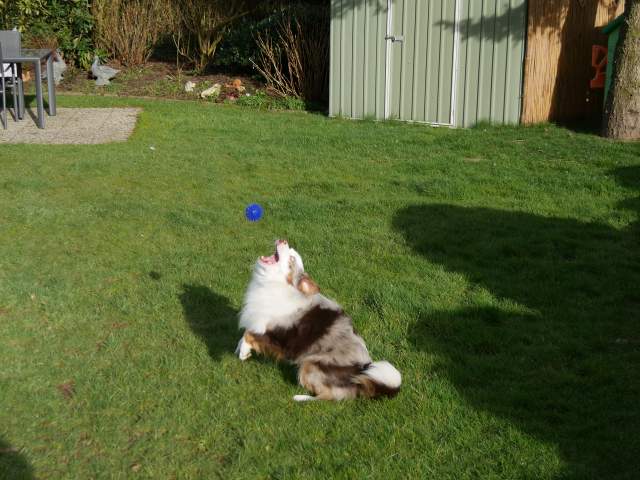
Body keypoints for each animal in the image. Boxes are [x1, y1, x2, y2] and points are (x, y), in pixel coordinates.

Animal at [235, 239, 401, 401]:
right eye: (291, 252)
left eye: (292, 258)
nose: (283, 240)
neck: (277, 285)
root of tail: (360, 374)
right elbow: (245, 333)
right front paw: (241, 349)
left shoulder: (277, 337)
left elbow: (248, 335)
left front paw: (243, 353)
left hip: (310, 364)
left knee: (331, 396)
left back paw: (301, 398)